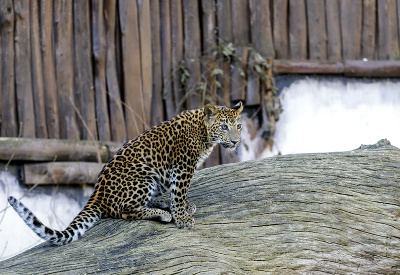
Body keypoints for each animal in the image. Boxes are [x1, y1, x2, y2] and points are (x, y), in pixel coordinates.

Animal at [7, 102, 242, 247]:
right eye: (223, 127)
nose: (236, 141)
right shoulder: (183, 167)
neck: (204, 132)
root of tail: (96, 195)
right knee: (126, 211)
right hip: (144, 176)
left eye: (238, 126)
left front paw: (183, 208)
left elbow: (178, 194)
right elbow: (178, 194)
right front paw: (182, 218)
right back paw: (163, 213)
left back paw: (163, 204)